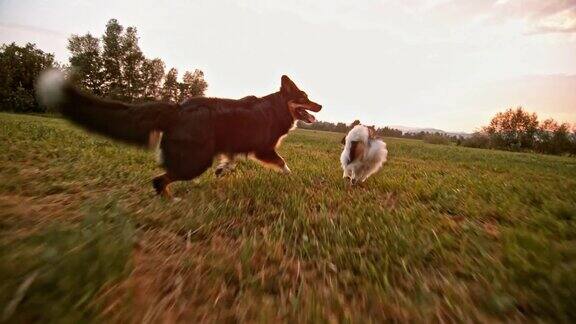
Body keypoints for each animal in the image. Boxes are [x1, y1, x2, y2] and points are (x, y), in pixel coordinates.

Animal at [37, 71, 322, 197]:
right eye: (304, 97)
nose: (320, 106)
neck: (277, 107)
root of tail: (177, 108)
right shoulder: (263, 148)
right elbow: (283, 163)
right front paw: (293, 178)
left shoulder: (234, 143)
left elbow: (230, 160)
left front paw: (223, 170)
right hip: (195, 161)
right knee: (159, 180)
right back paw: (169, 199)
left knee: (161, 179)